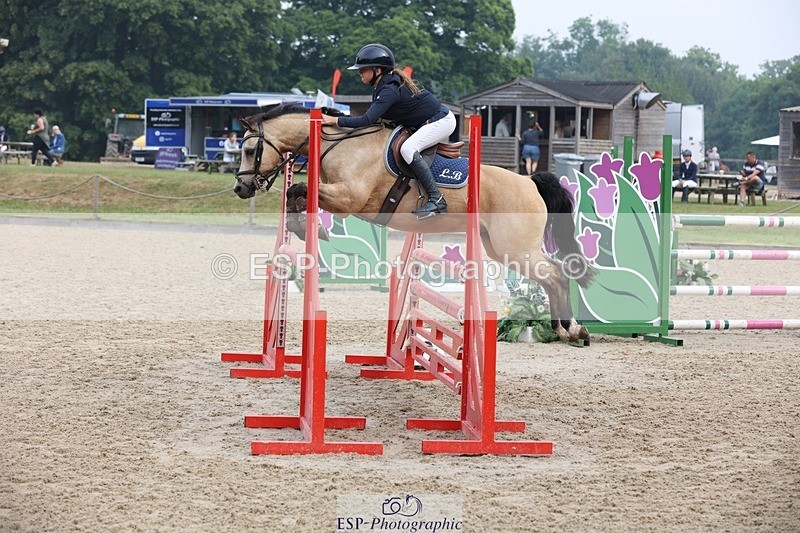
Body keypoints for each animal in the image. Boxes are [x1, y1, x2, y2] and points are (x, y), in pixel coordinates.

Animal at [233, 104, 594, 343]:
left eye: (250, 149)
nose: (240, 188)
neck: (341, 144)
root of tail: (530, 182)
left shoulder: (349, 199)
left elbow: (297, 189)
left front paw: (311, 228)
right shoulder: (339, 199)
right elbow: (296, 193)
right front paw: (305, 227)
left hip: (517, 248)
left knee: (557, 274)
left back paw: (571, 328)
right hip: (498, 248)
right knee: (553, 277)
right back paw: (567, 328)